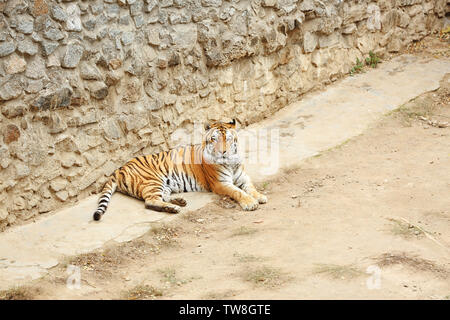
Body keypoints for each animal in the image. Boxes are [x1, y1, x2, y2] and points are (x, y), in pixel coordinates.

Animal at [92, 119, 268, 221]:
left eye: (228, 139)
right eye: (214, 139)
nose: (222, 152)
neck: (230, 162)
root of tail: (119, 168)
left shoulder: (243, 177)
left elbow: (251, 188)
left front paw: (260, 196)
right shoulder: (220, 183)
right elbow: (238, 192)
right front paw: (250, 203)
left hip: (165, 184)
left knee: (161, 197)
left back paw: (179, 202)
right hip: (153, 181)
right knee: (150, 201)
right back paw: (174, 208)